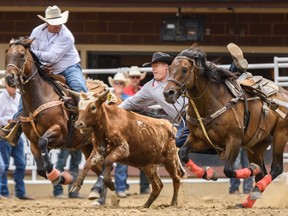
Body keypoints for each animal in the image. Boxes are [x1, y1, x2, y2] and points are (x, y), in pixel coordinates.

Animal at [4, 36, 106, 203]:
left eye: (22, 55)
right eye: (7, 54)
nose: (8, 78)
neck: (39, 98)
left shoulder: (59, 131)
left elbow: (43, 142)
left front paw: (61, 176)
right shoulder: (32, 142)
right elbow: (41, 169)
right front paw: (62, 177)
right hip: (88, 146)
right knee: (100, 168)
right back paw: (99, 196)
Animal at [163, 46, 288, 208]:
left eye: (184, 69)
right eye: (169, 68)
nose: (168, 93)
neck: (213, 102)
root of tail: (284, 93)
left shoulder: (234, 140)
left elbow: (228, 170)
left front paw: (250, 169)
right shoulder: (198, 138)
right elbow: (183, 153)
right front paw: (209, 174)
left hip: (280, 135)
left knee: (276, 168)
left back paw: (254, 190)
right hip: (255, 145)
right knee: (262, 172)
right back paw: (248, 201)